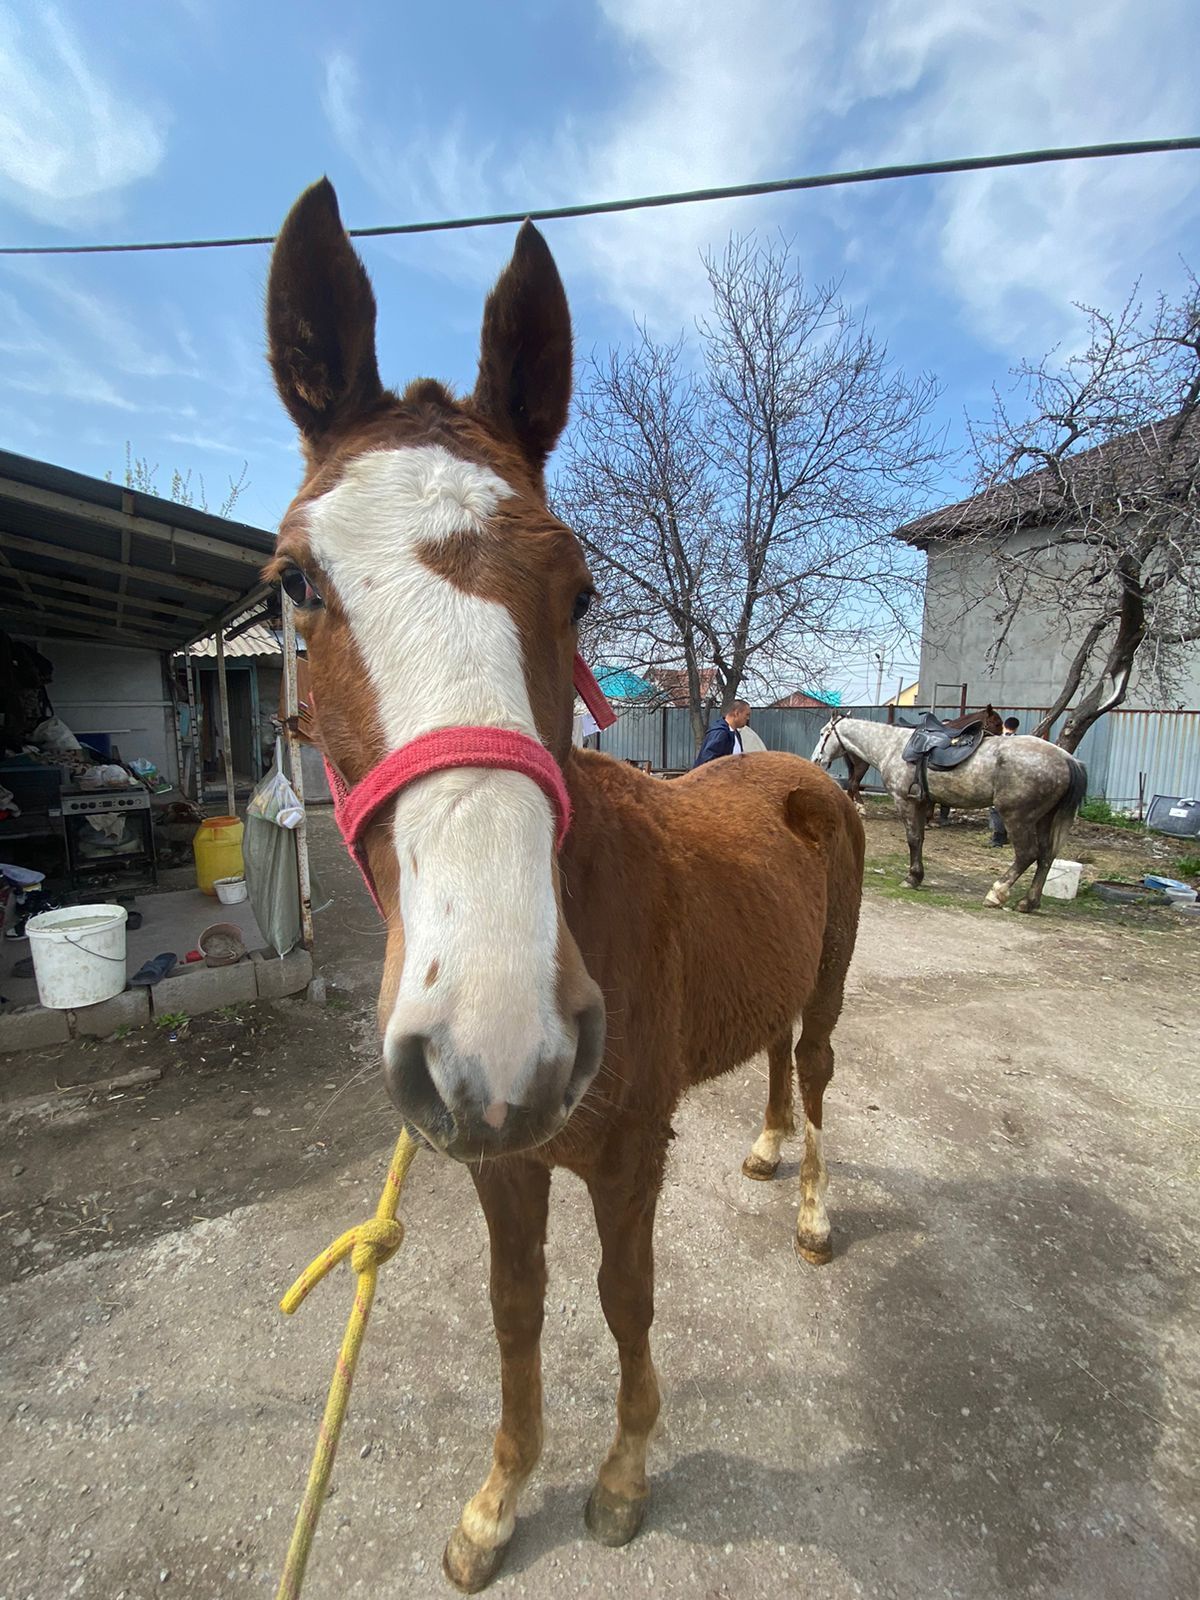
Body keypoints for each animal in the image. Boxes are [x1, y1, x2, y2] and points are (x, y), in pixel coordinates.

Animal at [267, 181, 864, 1593]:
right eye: (295, 582)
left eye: (581, 588)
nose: (498, 1037)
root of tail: (802, 765)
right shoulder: (503, 1158)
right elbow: (517, 1307)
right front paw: (497, 1501)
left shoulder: (629, 1156)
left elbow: (623, 1302)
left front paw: (622, 1478)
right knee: (773, 1060)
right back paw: (765, 1147)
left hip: (829, 984)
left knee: (816, 1068)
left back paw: (814, 1204)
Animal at [819, 716, 1088, 915]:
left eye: (824, 734)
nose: (818, 758)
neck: (891, 747)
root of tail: (1066, 758)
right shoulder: (922, 803)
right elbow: (919, 839)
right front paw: (917, 876)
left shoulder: (906, 802)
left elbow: (913, 839)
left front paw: (912, 878)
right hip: (1044, 819)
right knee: (1046, 857)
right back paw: (1028, 902)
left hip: (1017, 817)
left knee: (1027, 854)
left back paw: (997, 893)